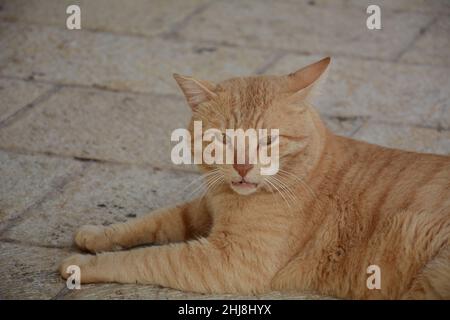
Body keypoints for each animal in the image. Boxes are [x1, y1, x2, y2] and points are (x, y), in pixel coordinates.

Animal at [60, 57, 450, 300]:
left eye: (268, 140)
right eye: (223, 139)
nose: (243, 167)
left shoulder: (229, 260)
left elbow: (145, 258)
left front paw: (81, 266)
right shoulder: (202, 208)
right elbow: (150, 223)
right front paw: (98, 235)